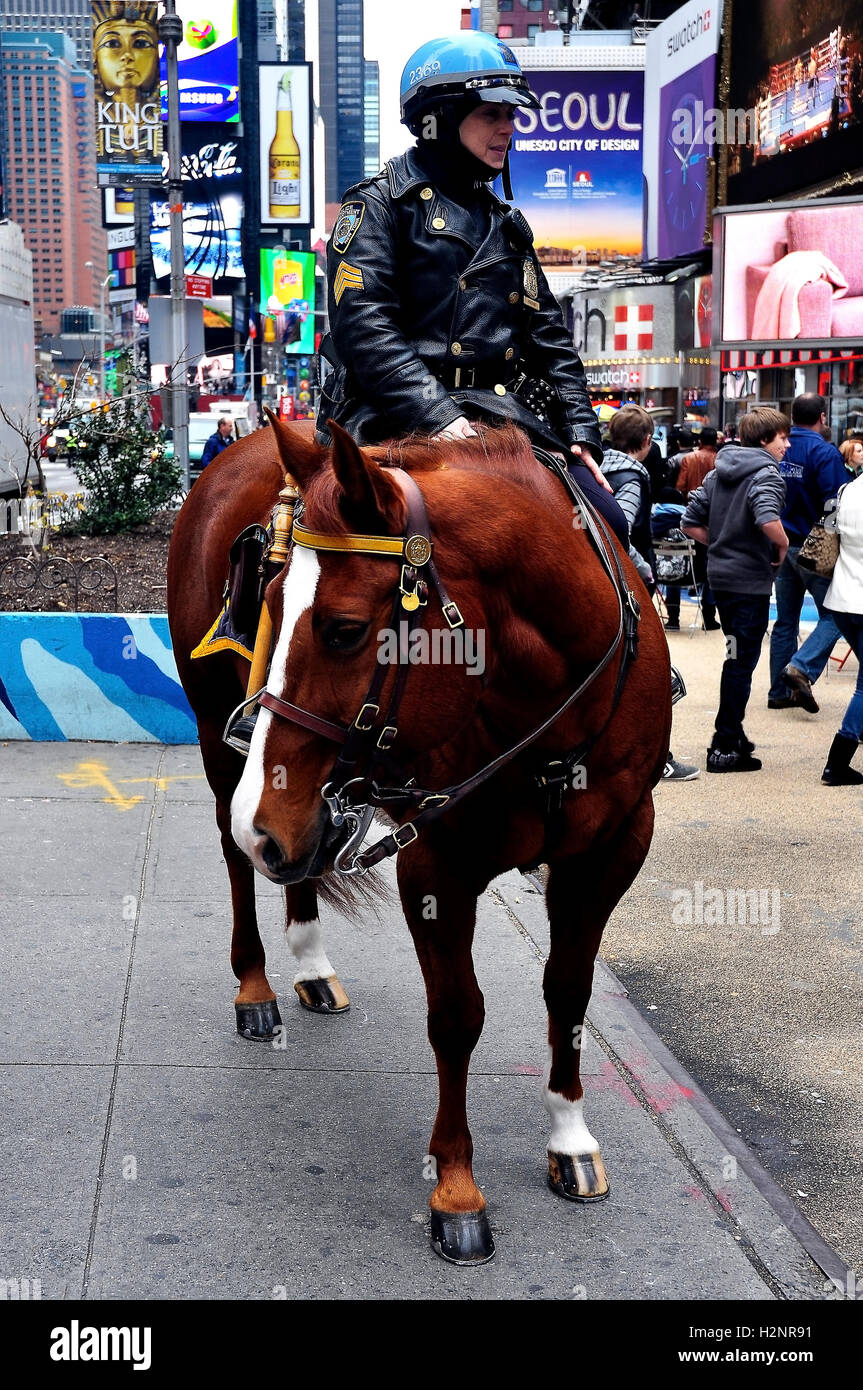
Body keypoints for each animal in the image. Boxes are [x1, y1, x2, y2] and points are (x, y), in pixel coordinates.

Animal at [166, 411, 667, 1262]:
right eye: (267, 598)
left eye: (342, 630)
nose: (265, 826)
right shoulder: (436, 863)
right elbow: (456, 1017)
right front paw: (456, 1188)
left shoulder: (609, 853)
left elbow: (568, 992)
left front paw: (567, 1136)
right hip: (221, 747)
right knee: (238, 862)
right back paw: (257, 984)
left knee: (291, 864)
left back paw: (310, 960)